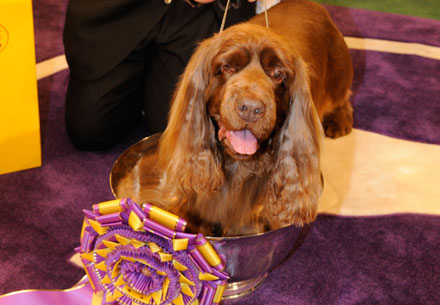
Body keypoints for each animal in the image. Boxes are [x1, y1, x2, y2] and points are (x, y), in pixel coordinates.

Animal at [116, 0, 350, 235]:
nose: (251, 109)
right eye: (227, 67)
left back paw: (339, 123)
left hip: (338, 75)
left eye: (278, 74)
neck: (238, 167)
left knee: (343, 97)